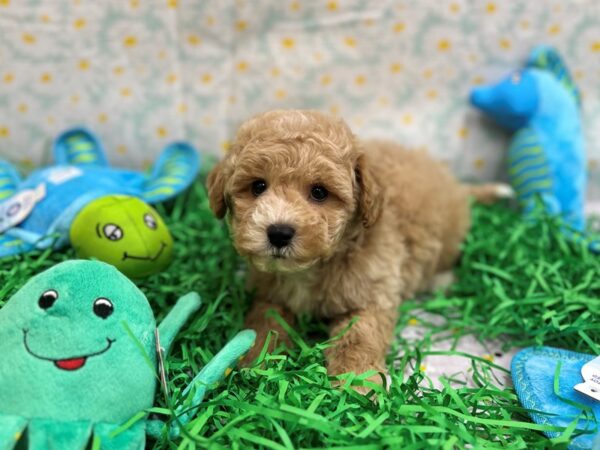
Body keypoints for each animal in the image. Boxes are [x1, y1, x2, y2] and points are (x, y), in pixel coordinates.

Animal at [207, 110, 510, 386]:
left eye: (319, 192)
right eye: (258, 186)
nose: (279, 233)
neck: (311, 268)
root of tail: (453, 183)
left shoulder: (371, 294)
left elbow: (359, 337)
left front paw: (357, 384)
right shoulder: (270, 292)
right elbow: (265, 320)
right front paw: (257, 358)